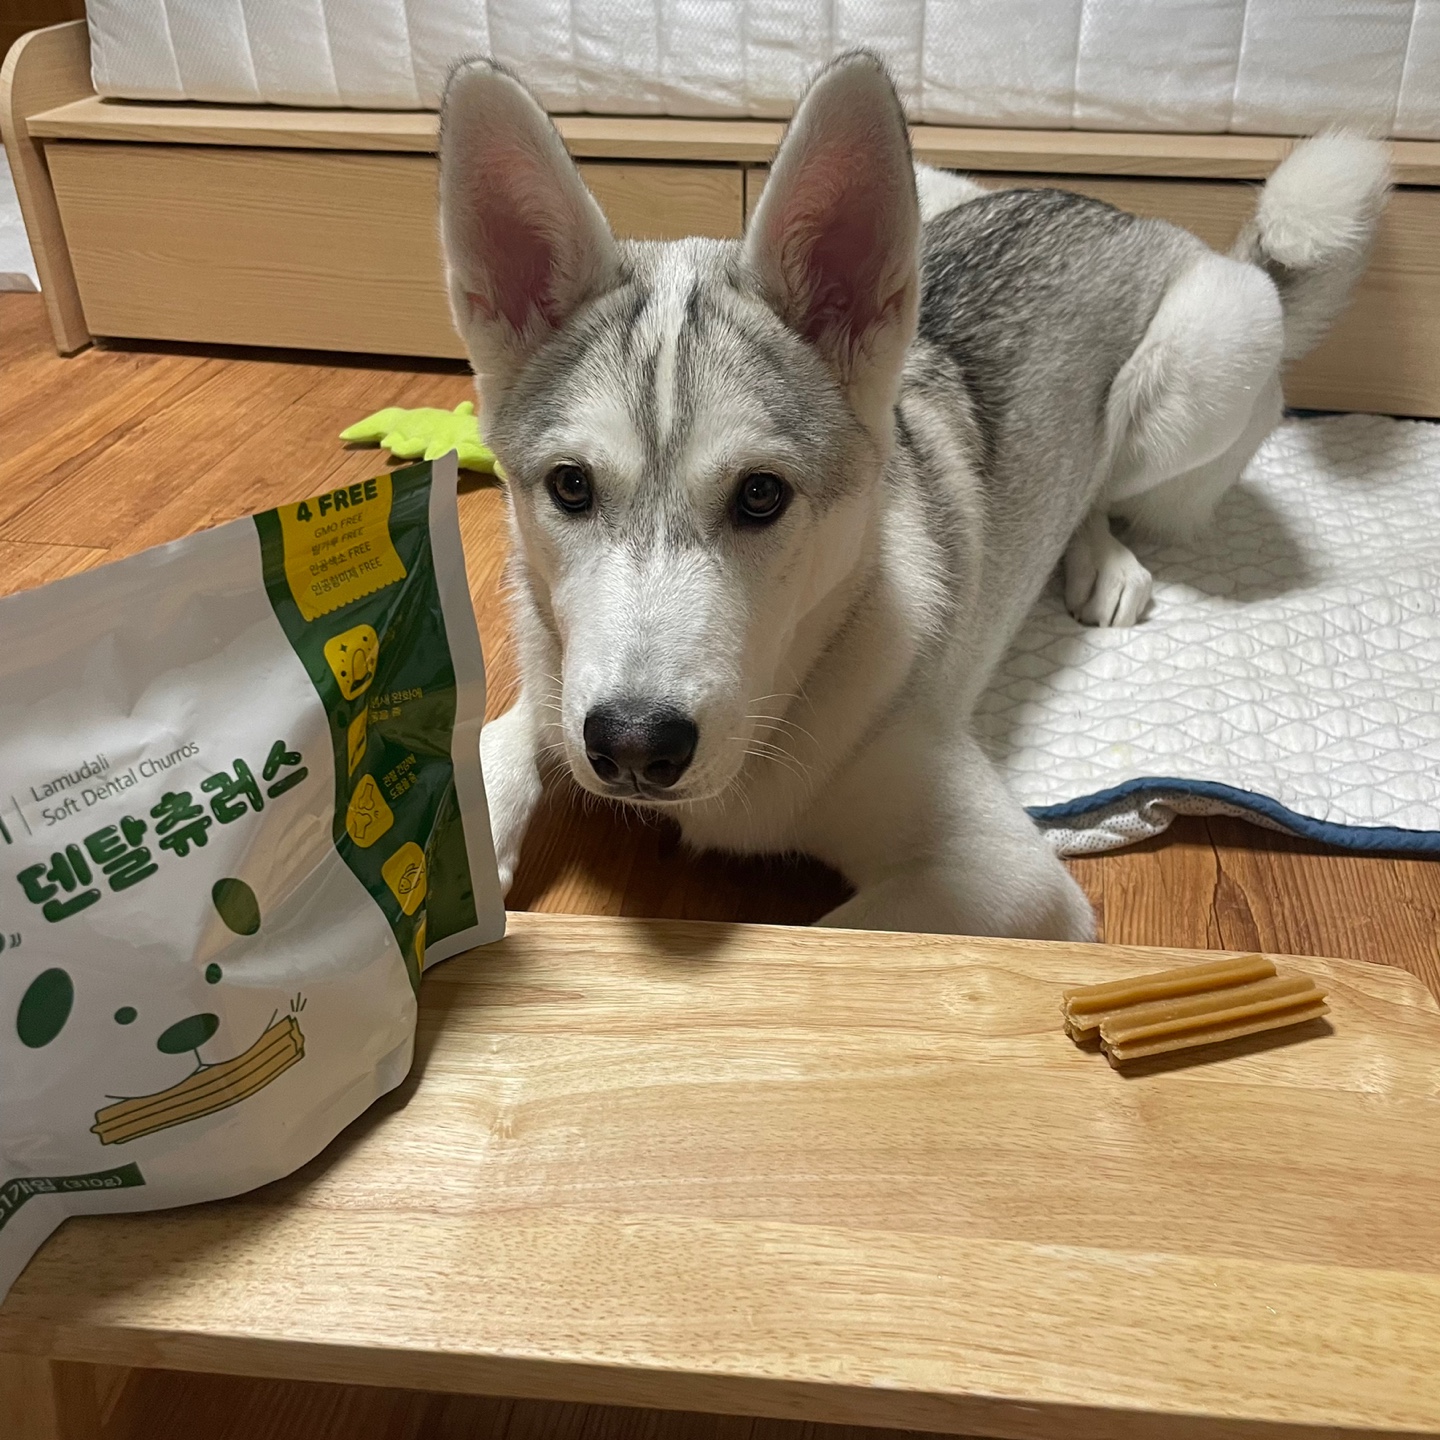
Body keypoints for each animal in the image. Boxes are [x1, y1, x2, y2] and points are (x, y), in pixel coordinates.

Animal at [438, 52, 1388, 940]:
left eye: (760, 495)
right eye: (571, 485)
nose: (635, 748)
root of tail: (1111, 206)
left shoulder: (1008, 882)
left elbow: (829, 943)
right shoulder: (555, 690)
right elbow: (496, 743)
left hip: (1202, 362)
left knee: (1106, 484)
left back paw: (1104, 560)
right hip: (927, 190)